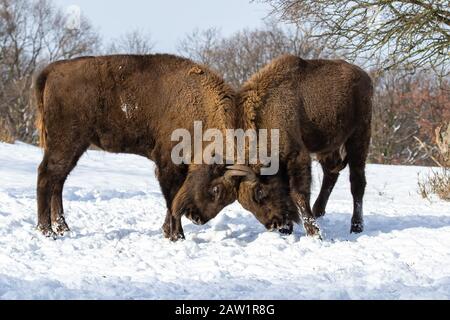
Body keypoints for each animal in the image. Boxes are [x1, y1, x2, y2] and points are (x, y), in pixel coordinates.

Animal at [35, 54, 246, 240]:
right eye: (216, 190)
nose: (197, 219)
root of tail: (52, 69)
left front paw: (168, 232)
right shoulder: (168, 165)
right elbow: (172, 200)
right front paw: (177, 236)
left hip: (75, 147)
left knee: (58, 181)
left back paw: (63, 228)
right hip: (66, 143)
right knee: (46, 176)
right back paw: (47, 231)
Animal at [232, 53, 372, 236]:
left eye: (259, 193)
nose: (275, 225)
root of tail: (365, 76)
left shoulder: (296, 155)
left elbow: (298, 193)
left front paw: (314, 233)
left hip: (359, 136)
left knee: (357, 181)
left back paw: (356, 226)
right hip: (327, 146)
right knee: (331, 173)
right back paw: (318, 211)